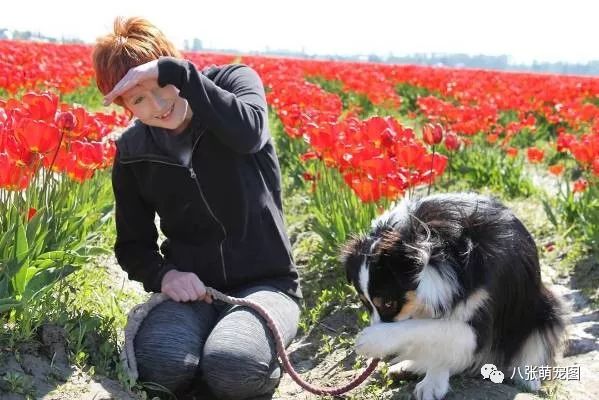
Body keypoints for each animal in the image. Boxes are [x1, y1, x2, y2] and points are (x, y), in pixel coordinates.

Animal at [342, 192, 568, 398]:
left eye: (388, 304)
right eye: (365, 304)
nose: (385, 357)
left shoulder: (479, 312)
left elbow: (429, 329)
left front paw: (372, 340)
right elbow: (436, 336)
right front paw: (432, 383)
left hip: (544, 312)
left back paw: (527, 379)